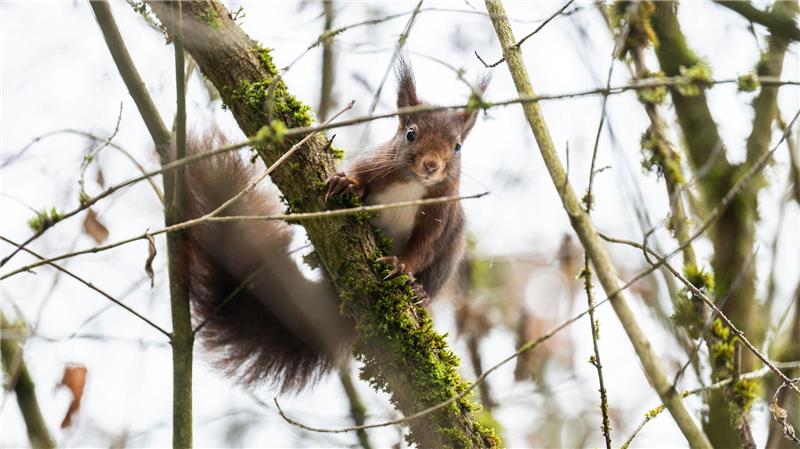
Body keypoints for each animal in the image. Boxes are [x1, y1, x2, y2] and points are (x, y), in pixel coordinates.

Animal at [181, 59, 487, 392]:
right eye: (410, 134)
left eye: (457, 147)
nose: (431, 165)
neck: (413, 184)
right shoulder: (374, 164)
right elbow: (360, 176)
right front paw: (346, 183)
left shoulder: (440, 215)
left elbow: (423, 247)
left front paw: (401, 267)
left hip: (449, 257)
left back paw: (420, 293)